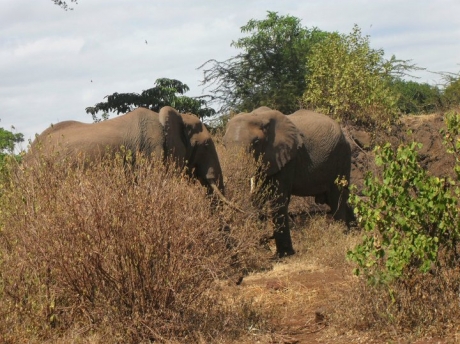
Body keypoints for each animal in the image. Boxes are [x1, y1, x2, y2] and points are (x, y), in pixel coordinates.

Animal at [225, 106, 354, 256]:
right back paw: (355, 228)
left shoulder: (287, 158)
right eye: (223, 144)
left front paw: (284, 254)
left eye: (256, 143)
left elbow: (278, 198)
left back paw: (343, 234)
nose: (265, 239)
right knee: (333, 198)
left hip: (341, 156)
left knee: (336, 196)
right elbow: (259, 198)